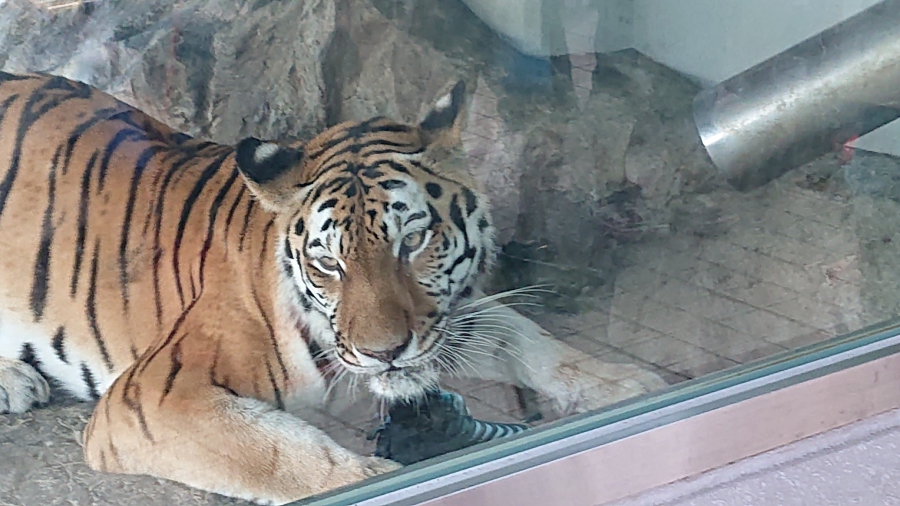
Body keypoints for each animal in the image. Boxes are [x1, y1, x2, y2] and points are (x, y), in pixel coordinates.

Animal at [0, 72, 664, 506]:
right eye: (328, 263)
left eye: (412, 240)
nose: (384, 353)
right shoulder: (156, 396)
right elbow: (285, 455)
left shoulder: (453, 320)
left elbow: (539, 346)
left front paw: (636, 387)